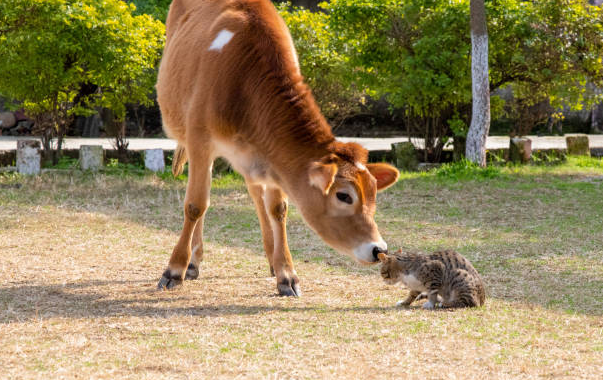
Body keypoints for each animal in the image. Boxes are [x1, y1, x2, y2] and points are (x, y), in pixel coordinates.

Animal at [156, 0, 402, 296]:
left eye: (375, 193)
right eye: (344, 196)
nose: (378, 249)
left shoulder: (272, 156)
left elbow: (278, 209)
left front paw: (286, 273)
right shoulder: (200, 140)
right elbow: (195, 205)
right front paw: (175, 269)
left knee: (256, 193)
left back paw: (270, 257)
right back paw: (193, 262)